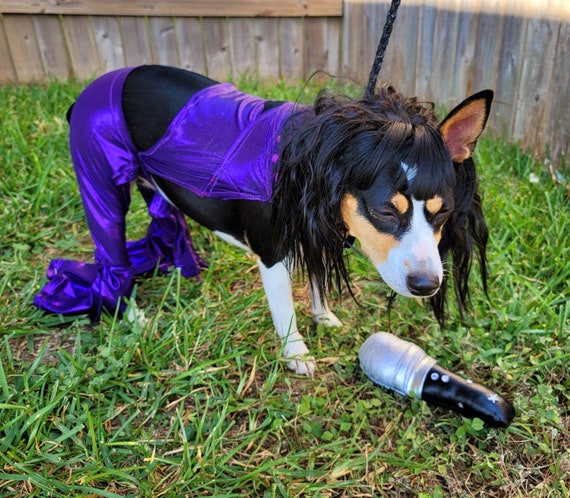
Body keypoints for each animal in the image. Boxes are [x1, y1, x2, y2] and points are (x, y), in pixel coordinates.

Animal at [33, 64, 490, 374]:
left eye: (443, 212)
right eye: (384, 210)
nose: (427, 285)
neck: (320, 162)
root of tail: (88, 92)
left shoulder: (316, 234)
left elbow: (317, 283)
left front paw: (324, 317)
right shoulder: (272, 256)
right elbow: (285, 309)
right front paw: (297, 354)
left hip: (150, 184)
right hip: (99, 180)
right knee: (110, 256)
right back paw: (131, 313)